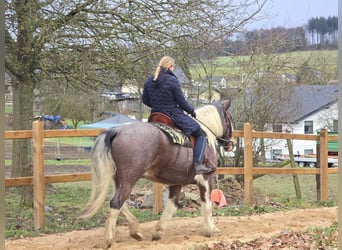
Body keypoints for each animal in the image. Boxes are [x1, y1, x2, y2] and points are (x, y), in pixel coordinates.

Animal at [80, 98, 235, 247]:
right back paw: (109, 239)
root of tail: (116, 131)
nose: (231, 144)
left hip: (119, 180)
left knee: (120, 204)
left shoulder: (176, 183)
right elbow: (207, 205)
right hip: (128, 180)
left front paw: (158, 232)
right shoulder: (206, 180)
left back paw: (136, 231)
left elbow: (171, 207)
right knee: (116, 202)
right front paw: (211, 229)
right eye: (229, 118)